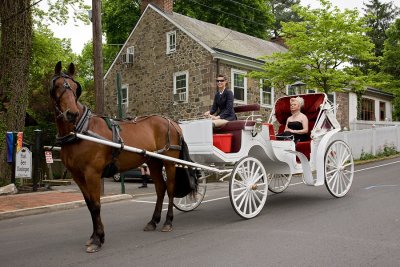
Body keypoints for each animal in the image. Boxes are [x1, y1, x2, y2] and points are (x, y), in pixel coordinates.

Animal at [50, 62, 197, 253]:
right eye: (57, 86)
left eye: (75, 88)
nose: (72, 113)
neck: (80, 131)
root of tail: (173, 123)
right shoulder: (77, 175)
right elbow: (89, 205)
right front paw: (94, 236)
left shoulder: (92, 173)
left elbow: (96, 205)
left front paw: (98, 239)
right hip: (153, 162)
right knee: (160, 189)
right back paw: (153, 221)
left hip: (170, 162)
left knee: (170, 189)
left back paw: (168, 222)